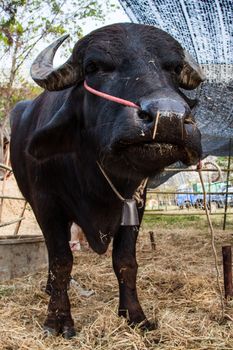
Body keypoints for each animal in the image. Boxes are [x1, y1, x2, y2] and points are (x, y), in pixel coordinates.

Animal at [10, 22, 204, 340]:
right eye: (94, 66)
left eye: (175, 68)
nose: (169, 117)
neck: (94, 176)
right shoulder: (46, 204)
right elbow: (62, 260)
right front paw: (58, 320)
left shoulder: (136, 204)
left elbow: (125, 261)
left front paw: (135, 315)